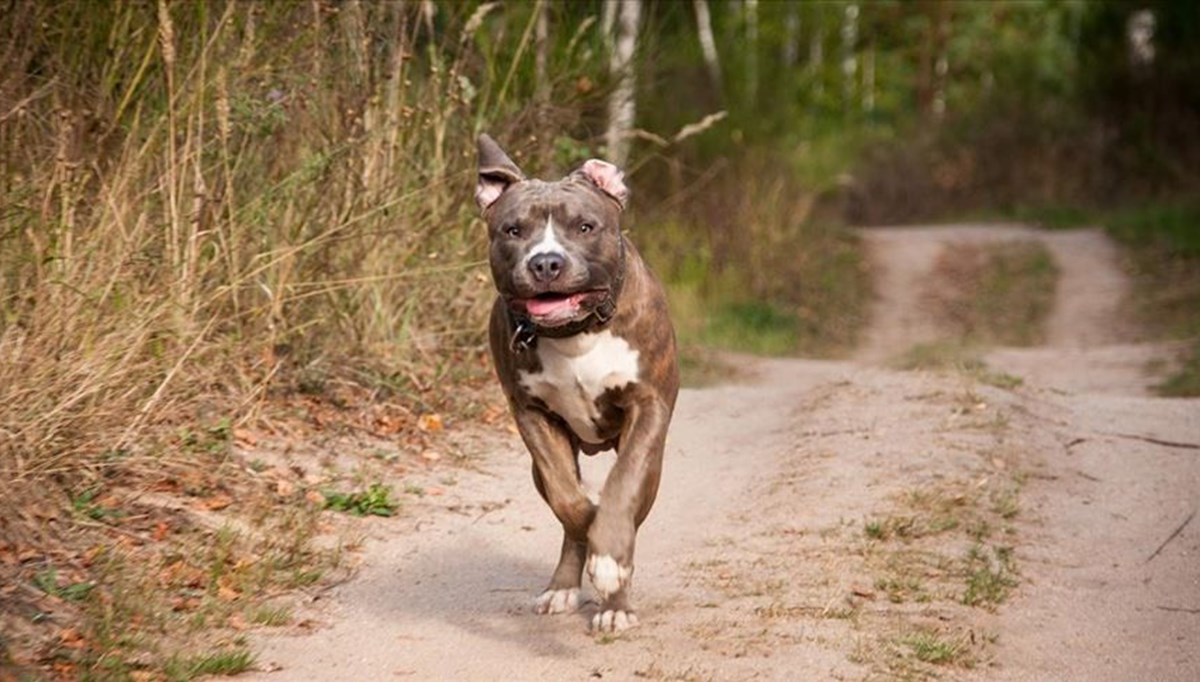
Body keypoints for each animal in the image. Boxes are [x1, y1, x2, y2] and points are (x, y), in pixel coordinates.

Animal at [475, 134, 681, 633]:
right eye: (513, 230)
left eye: (585, 227)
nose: (547, 262)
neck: (576, 333)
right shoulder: (531, 414)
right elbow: (568, 500)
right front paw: (588, 523)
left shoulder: (647, 407)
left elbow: (622, 488)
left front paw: (610, 564)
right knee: (566, 509)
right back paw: (564, 585)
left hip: (654, 464)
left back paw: (615, 603)